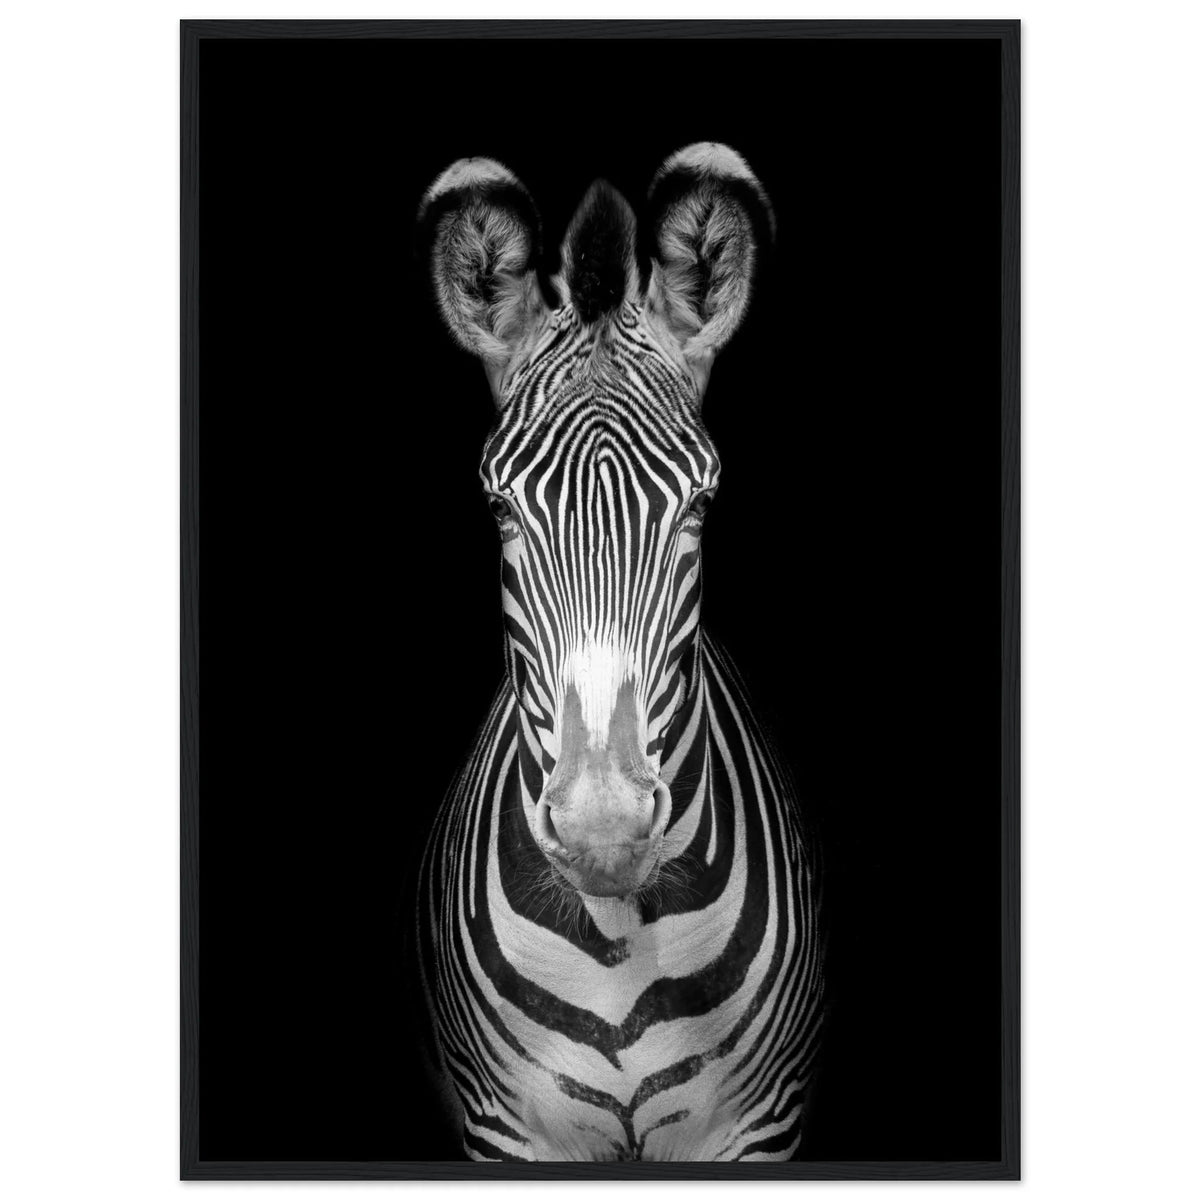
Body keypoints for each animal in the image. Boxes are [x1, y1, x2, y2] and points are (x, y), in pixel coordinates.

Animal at [413, 143, 823, 1162]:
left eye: (701, 507)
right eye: (500, 512)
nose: (605, 835)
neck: (617, 938)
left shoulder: (760, 1128)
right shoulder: (505, 1131)